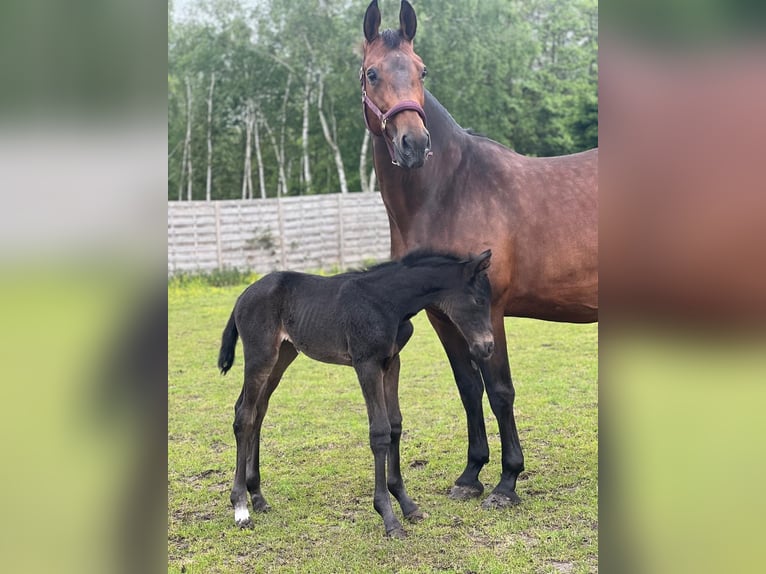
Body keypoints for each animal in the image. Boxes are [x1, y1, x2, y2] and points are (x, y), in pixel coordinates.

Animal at [219, 250, 496, 536]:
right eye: (478, 301)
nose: (488, 347)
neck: (387, 302)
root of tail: (242, 296)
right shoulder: (367, 364)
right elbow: (380, 432)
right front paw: (388, 517)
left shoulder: (392, 362)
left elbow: (395, 425)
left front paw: (408, 505)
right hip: (260, 354)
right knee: (244, 416)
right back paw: (241, 508)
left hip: (283, 354)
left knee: (258, 411)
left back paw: (258, 497)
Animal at [360, 1, 600, 512]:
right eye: (372, 73)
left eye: (422, 70)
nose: (414, 144)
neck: (451, 190)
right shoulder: (441, 315)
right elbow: (469, 390)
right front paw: (471, 475)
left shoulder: (489, 309)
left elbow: (501, 391)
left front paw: (507, 483)